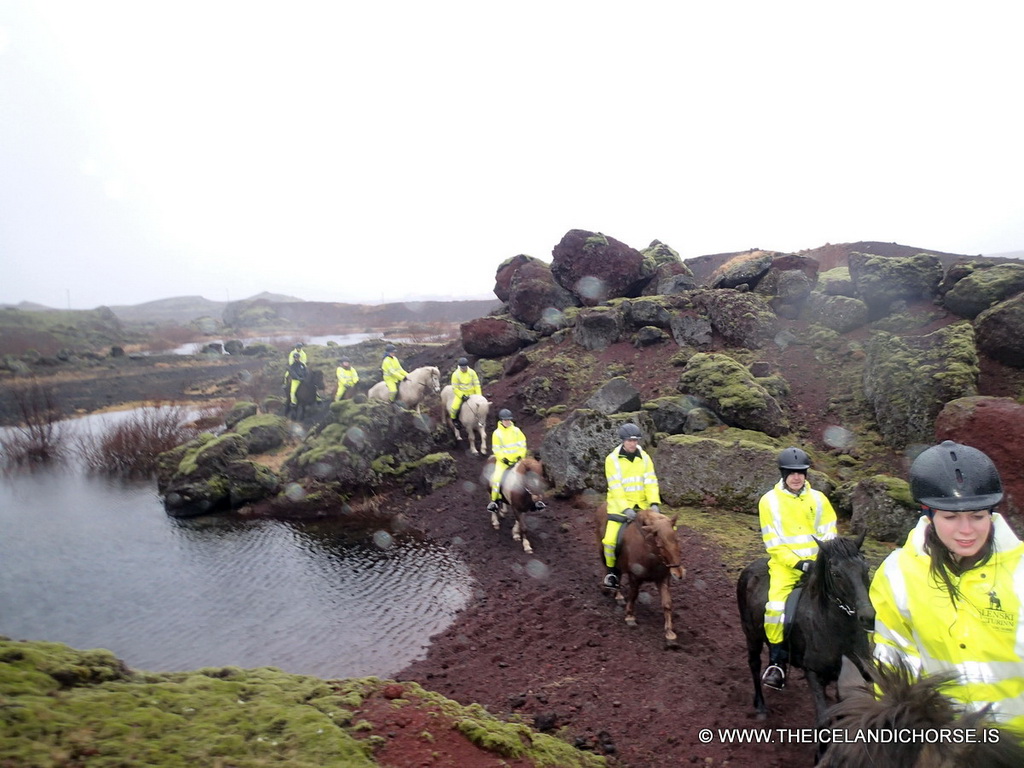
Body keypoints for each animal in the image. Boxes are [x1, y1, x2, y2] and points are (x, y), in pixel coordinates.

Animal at [589, 512, 684, 651]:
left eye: (677, 540)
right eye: (660, 545)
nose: (679, 574)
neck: (650, 552)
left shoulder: (662, 579)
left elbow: (667, 604)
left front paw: (670, 634)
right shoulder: (635, 577)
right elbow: (633, 595)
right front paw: (630, 616)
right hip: (603, 551)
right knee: (609, 568)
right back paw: (612, 590)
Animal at [737, 536, 872, 729]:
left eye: (866, 568)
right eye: (836, 573)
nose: (868, 616)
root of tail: (749, 569)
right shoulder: (813, 673)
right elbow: (823, 720)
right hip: (751, 634)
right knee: (754, 664)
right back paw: (761, 707)